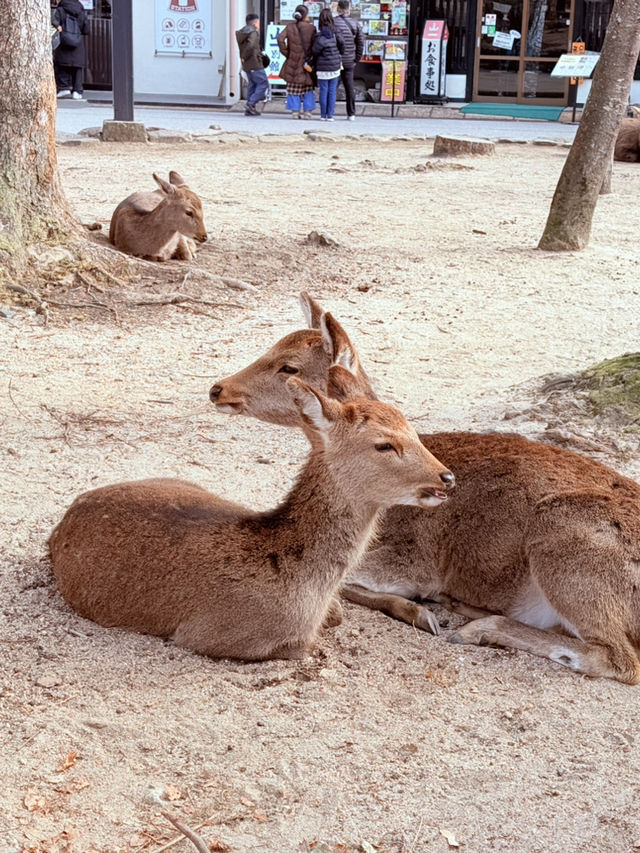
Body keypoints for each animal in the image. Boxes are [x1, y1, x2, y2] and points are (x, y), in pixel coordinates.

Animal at [48, 376, 450, 664]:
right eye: (384, 444)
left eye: (413, 430)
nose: (446, 477)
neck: (303, 583)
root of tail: (60, 526)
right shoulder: (203, 633)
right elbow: (306, 645)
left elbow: (337, 614)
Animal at [206, 296, 640, 684]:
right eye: (273, 345)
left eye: (289, 366)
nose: (217, 388)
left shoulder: (414, 560)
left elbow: (349, 584)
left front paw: (419, 612)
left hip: (566, 538)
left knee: (619, 660)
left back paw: (477, 628)